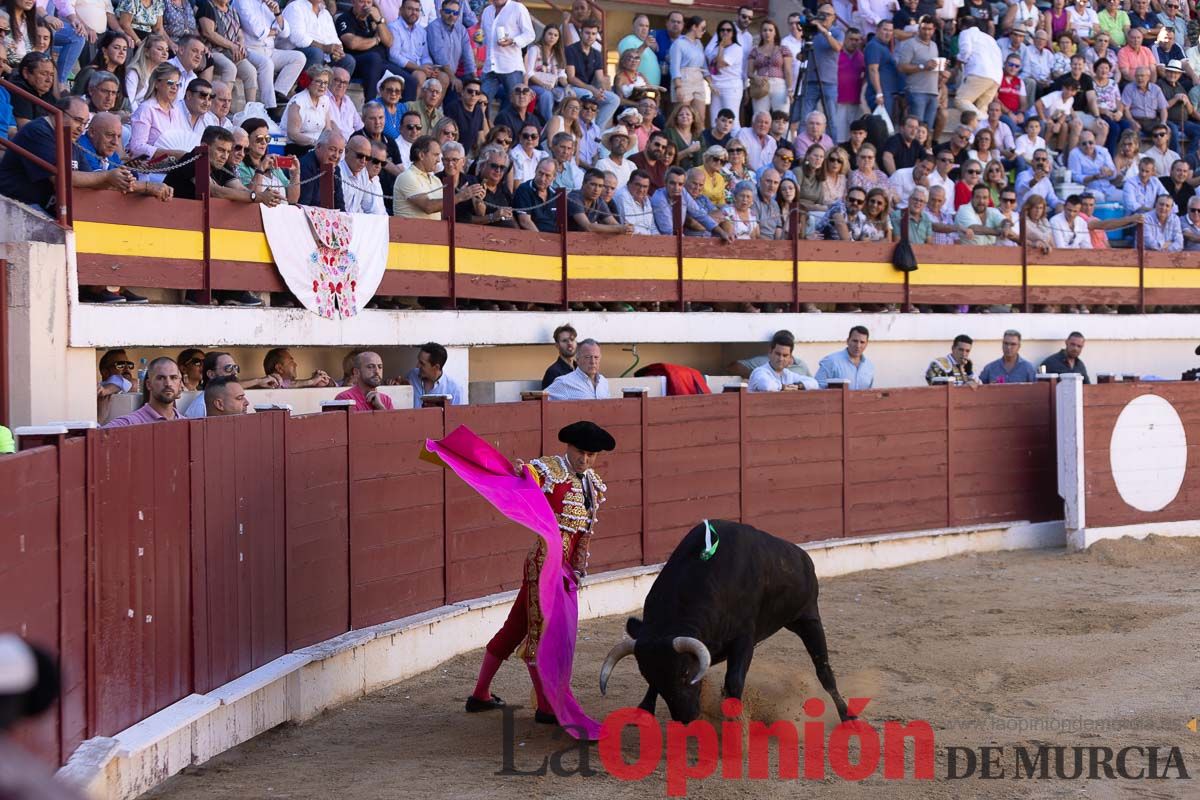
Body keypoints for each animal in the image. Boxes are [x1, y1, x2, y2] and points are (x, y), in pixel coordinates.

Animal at [600, 520, 854, 724]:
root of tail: (803, 557)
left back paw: (847, 715)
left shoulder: (744, 639)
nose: (685, 718)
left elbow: (734, 681)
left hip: (808, 619)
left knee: (824, 671)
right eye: (646, 675)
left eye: (684, 673)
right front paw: (642, 712)